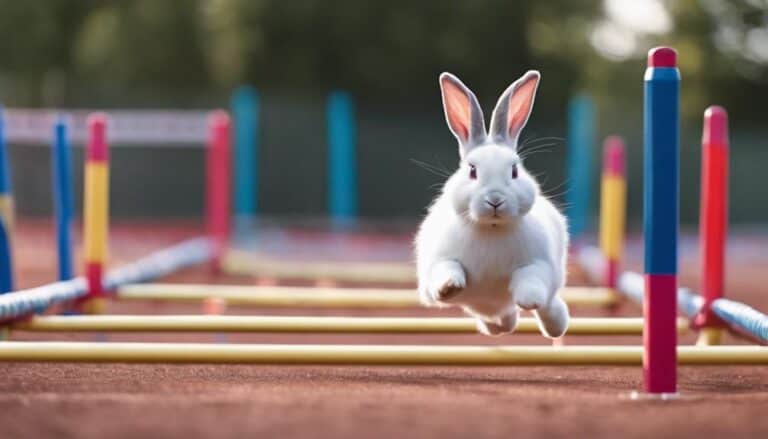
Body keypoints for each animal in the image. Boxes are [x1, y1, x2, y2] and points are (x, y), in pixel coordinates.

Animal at [414, 70, 569, 338]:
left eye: (515, 170)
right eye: (472, 170)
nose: (495, 199)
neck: (491, 228)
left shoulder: (539, 264)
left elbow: (530, 279)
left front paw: (528, 300)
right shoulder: (436, 262)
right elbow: (446, 268)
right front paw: (448, 287)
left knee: (548, 307)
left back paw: (556, 327)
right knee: (501, 322)